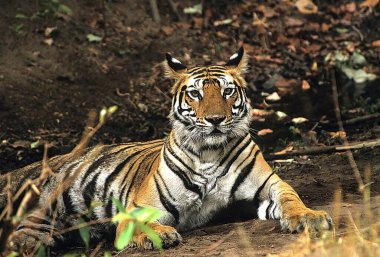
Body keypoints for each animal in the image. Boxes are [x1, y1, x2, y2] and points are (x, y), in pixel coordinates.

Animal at [0, 46, 332, 252]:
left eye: (227, 91)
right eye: (195, 94)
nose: (215, 119)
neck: (209, 154)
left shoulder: (267, 187)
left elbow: (291, 198)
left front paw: (309, 217)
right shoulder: (139, 206)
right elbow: (139, 224)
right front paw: (160, 236)